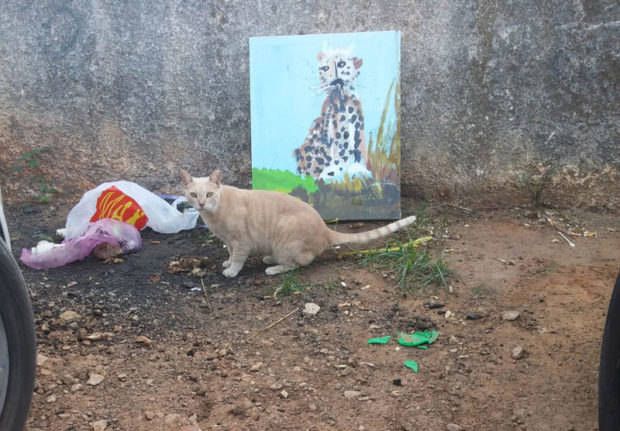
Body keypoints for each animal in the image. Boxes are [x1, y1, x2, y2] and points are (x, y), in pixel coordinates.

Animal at [183, 170, 416, 278]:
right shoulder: (229, 242)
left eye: (209, 194)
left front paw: (232, 270)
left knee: (299, 262)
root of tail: (325, 229)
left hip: (285, 240)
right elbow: (230, 254)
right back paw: (269, 259)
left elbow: (239, 258)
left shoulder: (241, 242)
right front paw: (228, 263)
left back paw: (273, 268)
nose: (201, 203)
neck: (215, 214)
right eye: (194, 195)